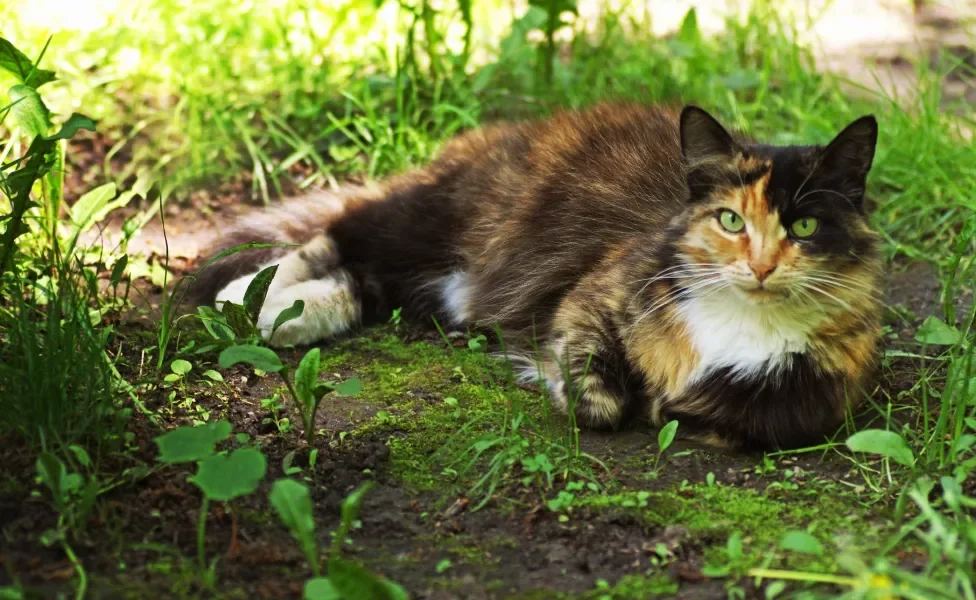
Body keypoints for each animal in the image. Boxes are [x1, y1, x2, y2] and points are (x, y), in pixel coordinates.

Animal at [193, 103, 884, 450]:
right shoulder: (596, 292)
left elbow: (680, 410)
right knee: (339, 231)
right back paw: (241, 298)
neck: (742, 321)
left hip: (432, 280)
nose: (761, 265)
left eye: (804, 227)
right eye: (730, 220)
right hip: (433, 220)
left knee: (360, 283)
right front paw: (567, 386)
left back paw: (278, 318)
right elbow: (598, 388)